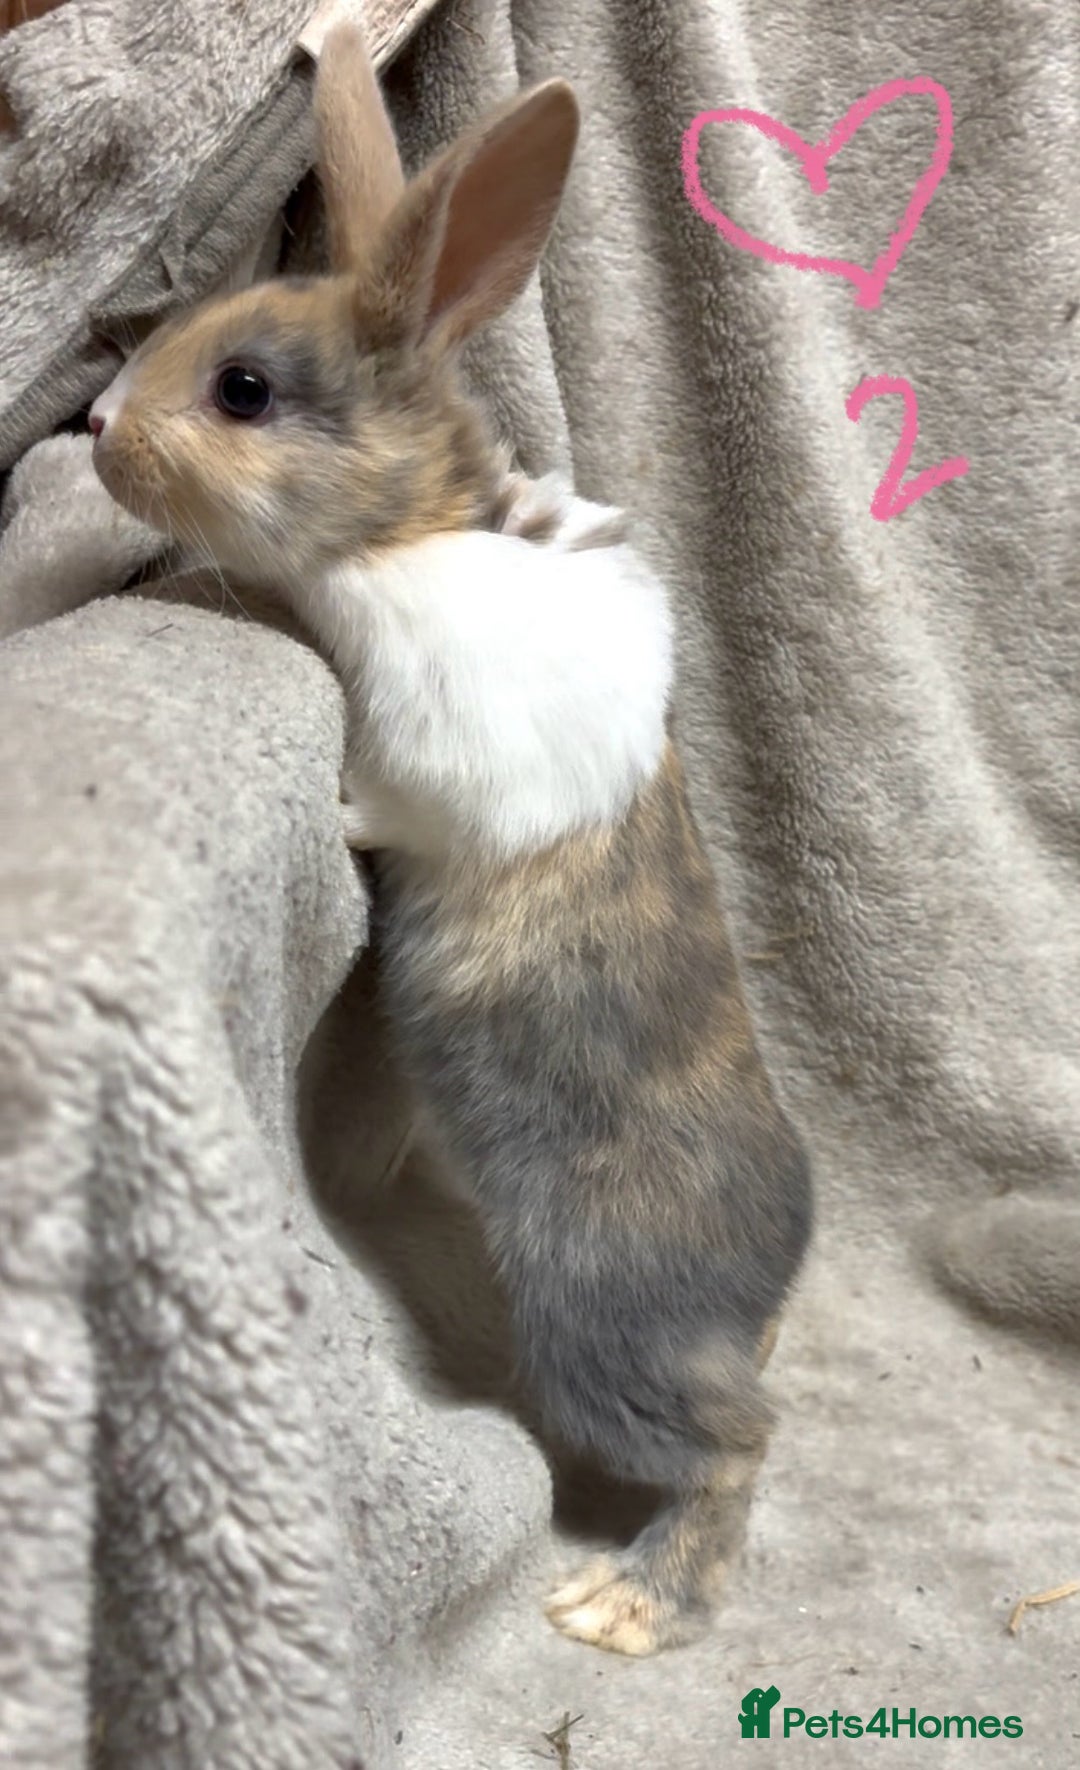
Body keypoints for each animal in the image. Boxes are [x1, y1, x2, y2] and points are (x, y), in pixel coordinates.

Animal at [86, 23, 812, 1656]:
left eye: (242, 389)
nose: (96, 431)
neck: (403, 532)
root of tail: (768, 1278)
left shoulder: (442, 753)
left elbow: (396, 799)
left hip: (598, 1329)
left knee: (741, 1445)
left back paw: (625, 1605)